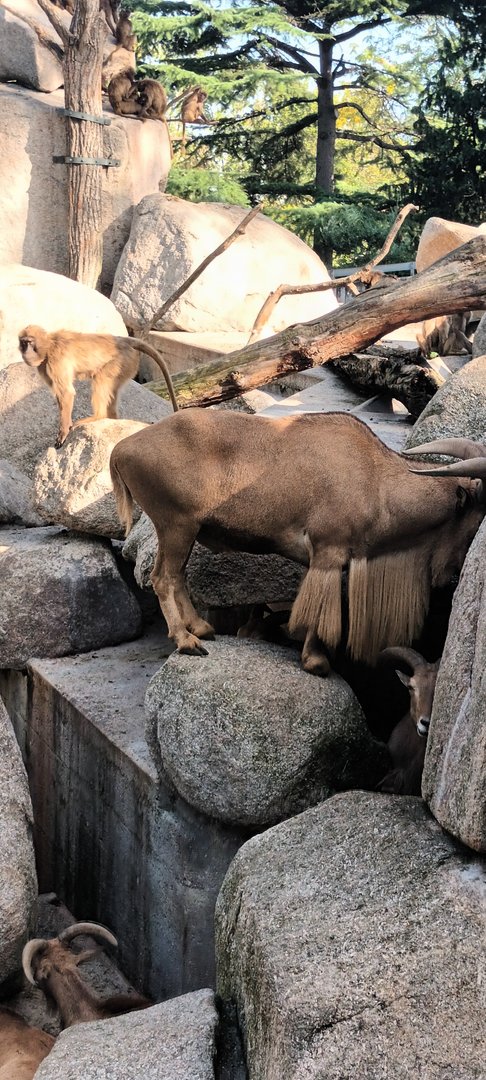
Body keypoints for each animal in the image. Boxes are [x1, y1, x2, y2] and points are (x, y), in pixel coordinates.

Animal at [18, 326, 178, 448]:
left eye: (30, 342)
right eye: (23, 343)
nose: (26, 352)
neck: (50, 344)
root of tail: (122, 339)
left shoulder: (55, 361)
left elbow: (66, 393)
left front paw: (63, 431)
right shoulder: (43, 366)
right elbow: (61, 395)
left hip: (122, 361)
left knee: (101, 379)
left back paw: (98, 416)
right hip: (126, 365)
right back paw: (111, 417)